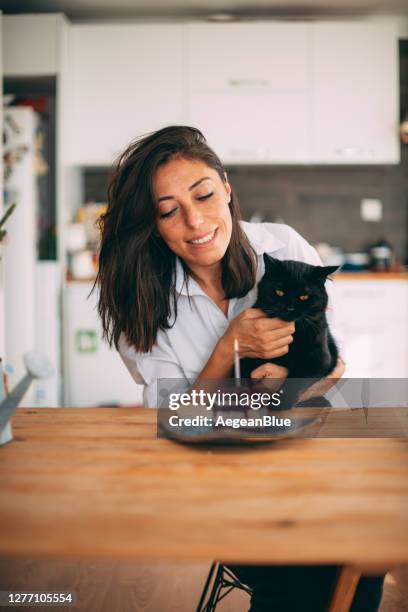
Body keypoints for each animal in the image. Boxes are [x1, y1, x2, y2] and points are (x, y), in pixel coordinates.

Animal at [241, 256, 340, 408]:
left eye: (304, 296)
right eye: (279, 292)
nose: (289, 308)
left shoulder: (320, 359)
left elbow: (296, 378)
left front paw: (281, 403)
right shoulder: (248, 355)